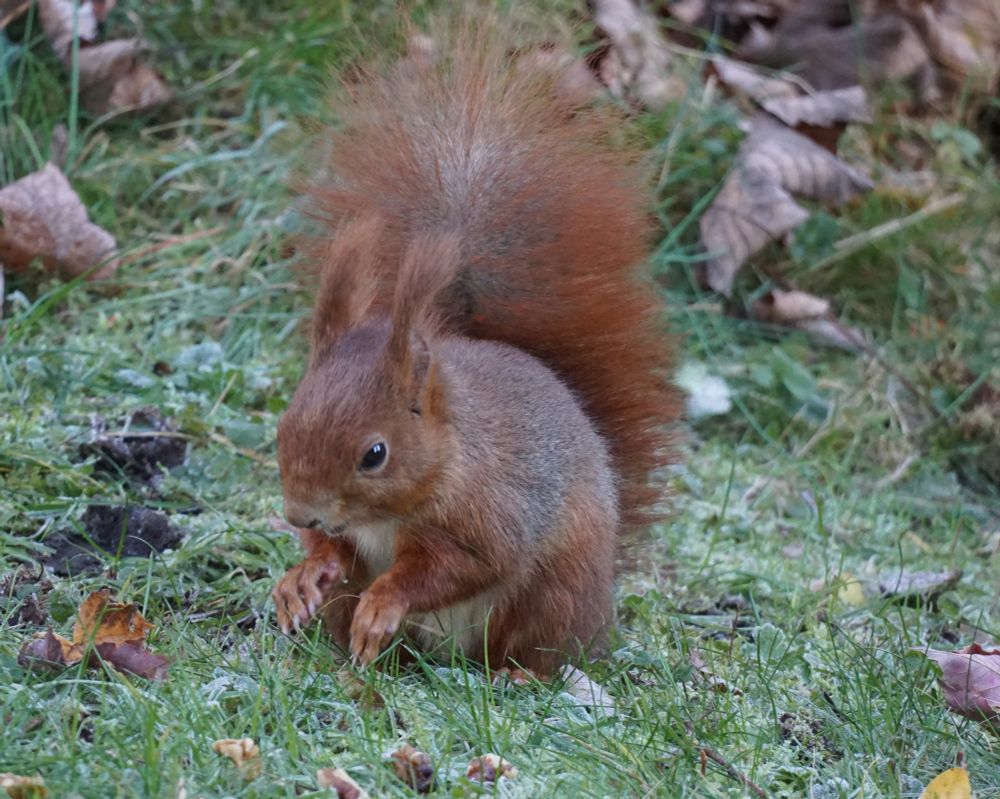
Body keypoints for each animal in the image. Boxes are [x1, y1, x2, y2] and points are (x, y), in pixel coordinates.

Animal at [271, 24, 678, 676]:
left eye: (375, 454)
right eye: (283, 426)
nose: (297, 515)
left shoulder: (492, 511)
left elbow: (463, 566)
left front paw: (385, 602)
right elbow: (337, 553)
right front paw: (305, 572)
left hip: (554, 591)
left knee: (537, 646)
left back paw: (515, 674)